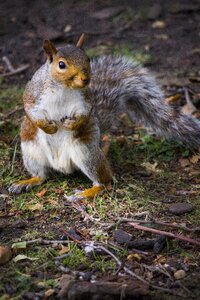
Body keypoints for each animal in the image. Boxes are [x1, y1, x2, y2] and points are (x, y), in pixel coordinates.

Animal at [8, 34, 200, 198]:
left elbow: (85, 114)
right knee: (42, 176)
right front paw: (49, 127)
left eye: (87, 59)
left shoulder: (84, 102)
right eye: (61, 65)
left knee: (105, 181)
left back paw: (87, 193)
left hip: (86, 152)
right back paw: (27, 181)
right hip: (31, 151)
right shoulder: (33, 94)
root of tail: (62, 167)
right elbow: (30, 111)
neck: (64, 87)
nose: (85, 79)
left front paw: (71, 124)